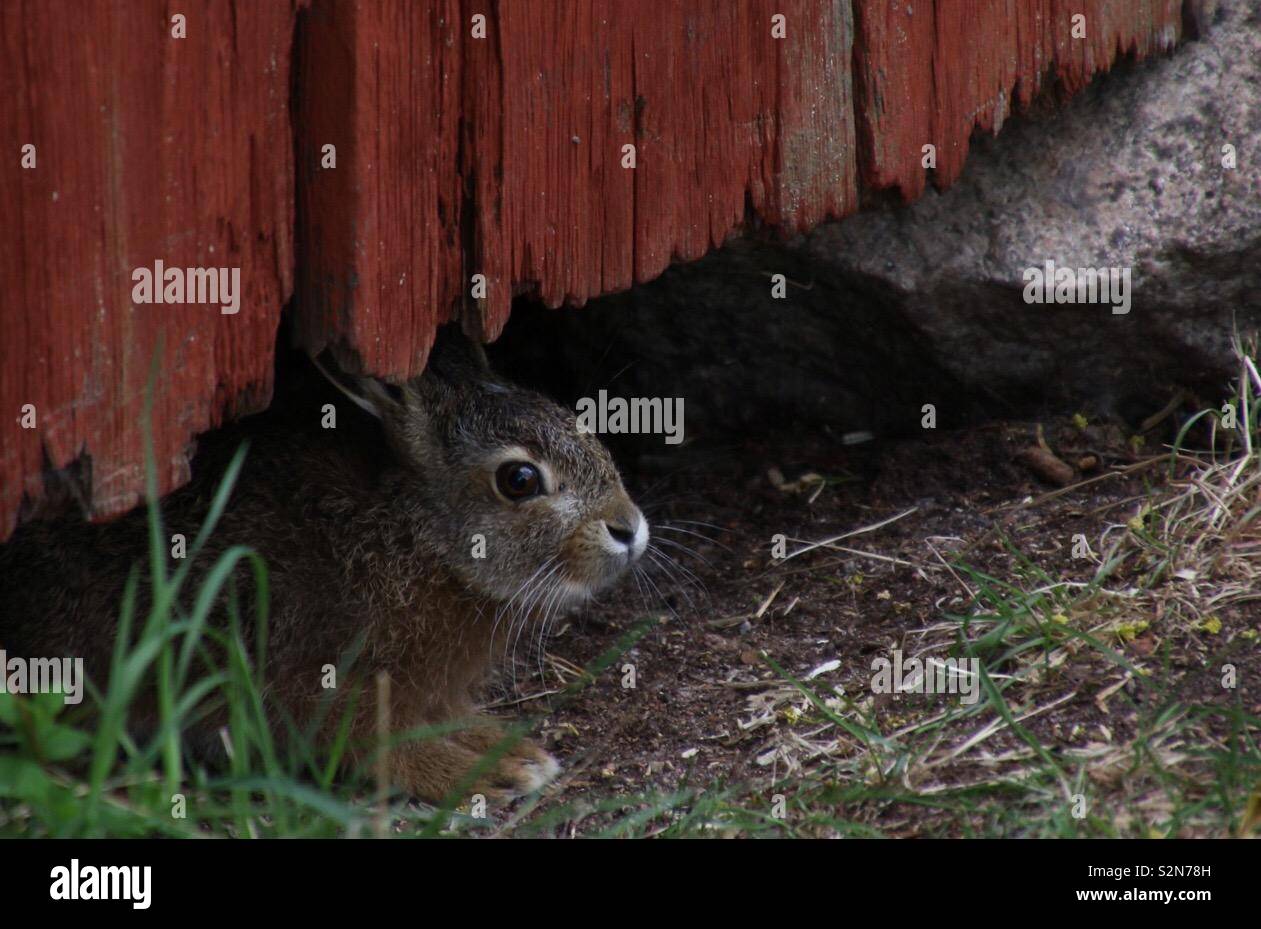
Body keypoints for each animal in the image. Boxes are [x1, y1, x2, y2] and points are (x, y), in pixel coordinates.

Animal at [0, 325, 649, 803]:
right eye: (519, 480)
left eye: (576, 423)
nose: (630, 529)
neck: (419, 541)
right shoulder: (320, 683)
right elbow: (380, 747)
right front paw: (484, 774)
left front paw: (511, 751)